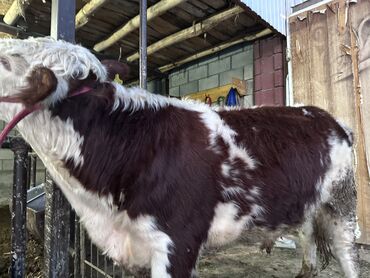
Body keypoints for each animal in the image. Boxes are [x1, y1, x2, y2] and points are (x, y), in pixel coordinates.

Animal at [0, 37, 358, 278]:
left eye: (6, 60)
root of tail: (324, 115)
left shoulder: (180, 239)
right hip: (309, 203)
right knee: (308, 238)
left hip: (343, 203)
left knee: (347, 254)